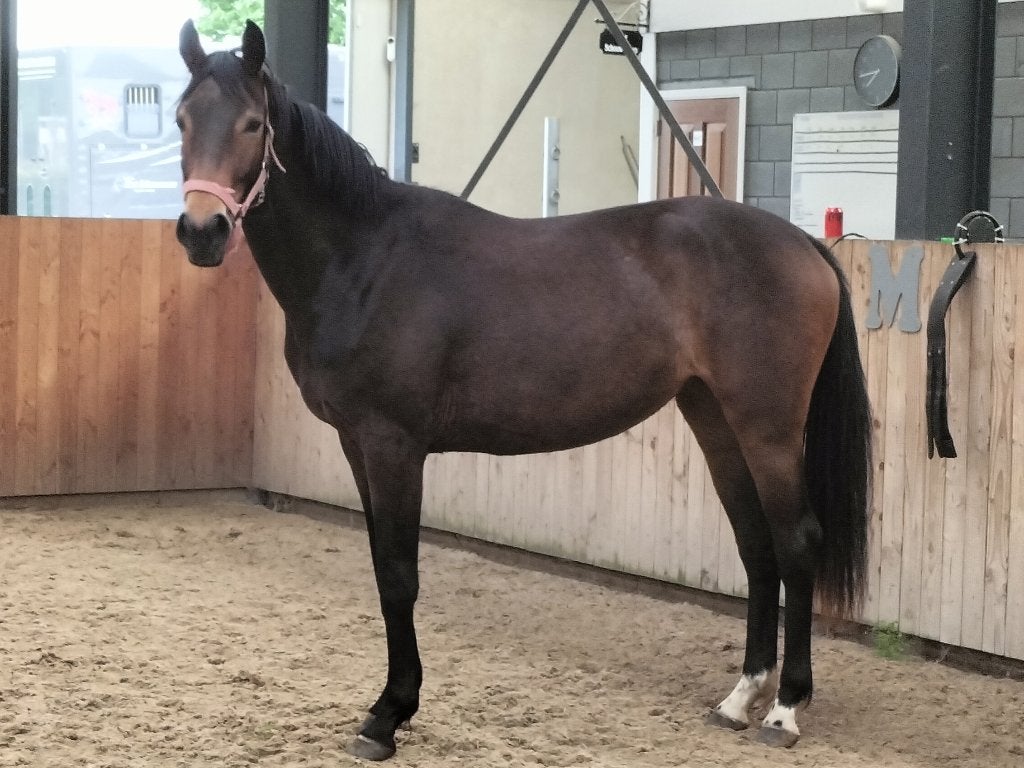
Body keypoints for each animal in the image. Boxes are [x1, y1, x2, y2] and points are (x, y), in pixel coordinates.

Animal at [174, 19, 871, 761]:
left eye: (252, 124)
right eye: (182, 118)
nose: (201, 231)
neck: (363, 259)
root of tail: (802, 243)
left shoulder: (394, 445)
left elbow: (399, 574)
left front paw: (389, 714)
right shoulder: (356, 445)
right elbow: (382, 569)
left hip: (769, 428)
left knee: (796, 542)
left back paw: (785, 709)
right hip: (714, 418)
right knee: (756, 545)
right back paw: (741, 698)